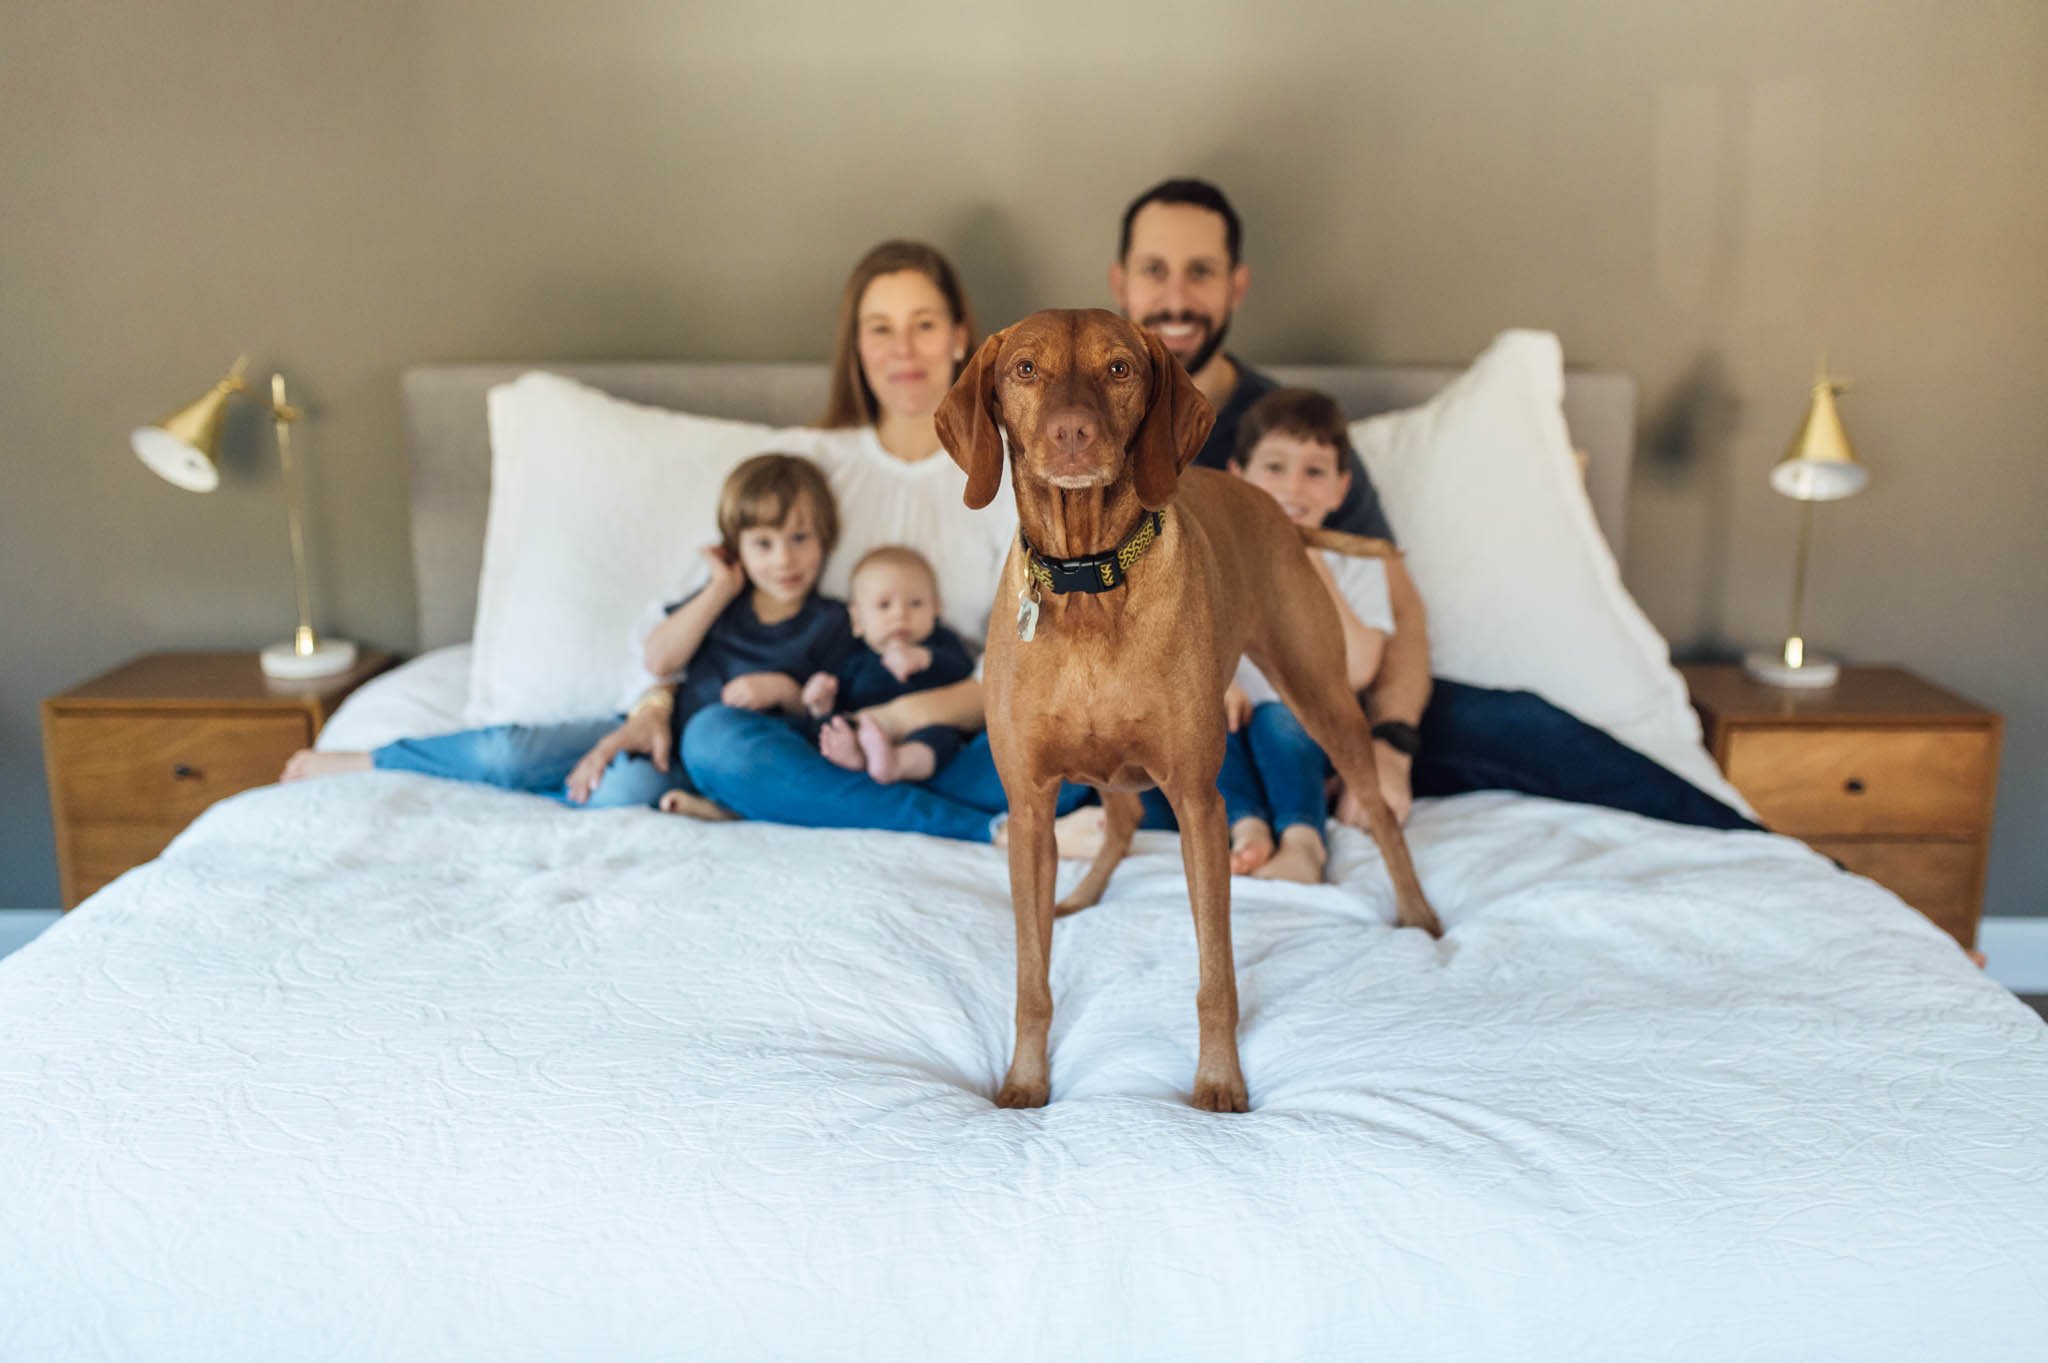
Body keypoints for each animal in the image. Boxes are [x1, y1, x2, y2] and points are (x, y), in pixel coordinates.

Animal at [933, 304, 1441, 1105]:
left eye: (1119, 368)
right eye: (1024, 369)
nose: (1071, 434)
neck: (1089, 582)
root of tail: (1278, 511)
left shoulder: (1200, 805)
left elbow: (1216, 977)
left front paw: (1219, 1080)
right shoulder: (1031, 807)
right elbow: (1031, 979)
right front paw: (1024, 1080)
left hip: (1321, 697)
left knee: (1382, 812)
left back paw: (1418, 913)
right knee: (1120, 823)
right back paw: (1079, 894)